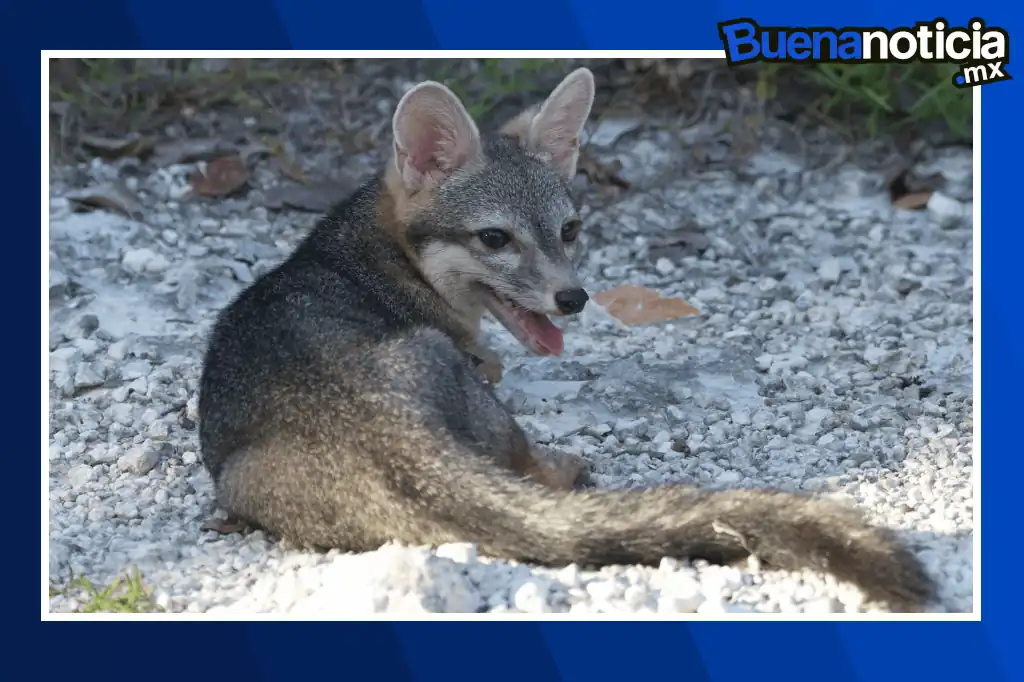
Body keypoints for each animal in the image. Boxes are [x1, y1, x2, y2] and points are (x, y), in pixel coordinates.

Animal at [198, 67, 936, 611]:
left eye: (570, 230)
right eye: (495, 238)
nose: (572, 298)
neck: (373, 255)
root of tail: (385, 431)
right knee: (529, 464)